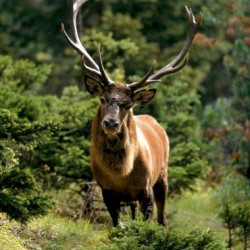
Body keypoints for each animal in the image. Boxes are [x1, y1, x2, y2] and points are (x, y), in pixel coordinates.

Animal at [61, 0, 202, 227]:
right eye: (103, 99)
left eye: (128, 104)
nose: (110, 123)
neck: (122, 175)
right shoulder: (107, 190)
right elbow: (117, 224)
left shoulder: (146, 190)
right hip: (133, 198)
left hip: (163, 175)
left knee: (162, 219)